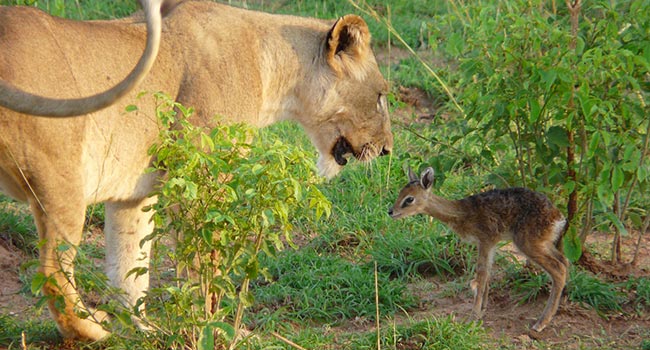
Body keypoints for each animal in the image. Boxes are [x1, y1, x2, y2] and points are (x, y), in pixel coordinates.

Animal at [388, 167, 564, 330]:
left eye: (409, 199)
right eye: (400, 192)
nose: (390, 211)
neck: (462, 213)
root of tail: (558, 217)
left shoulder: (486, 240)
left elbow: (481, 274)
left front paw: (473, 316)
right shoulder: (490, 244)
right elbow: (486, 274)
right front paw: (483, 308)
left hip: (527, 243)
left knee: (559, 269)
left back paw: (540, 323)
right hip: (544, 243)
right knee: (564, 260)